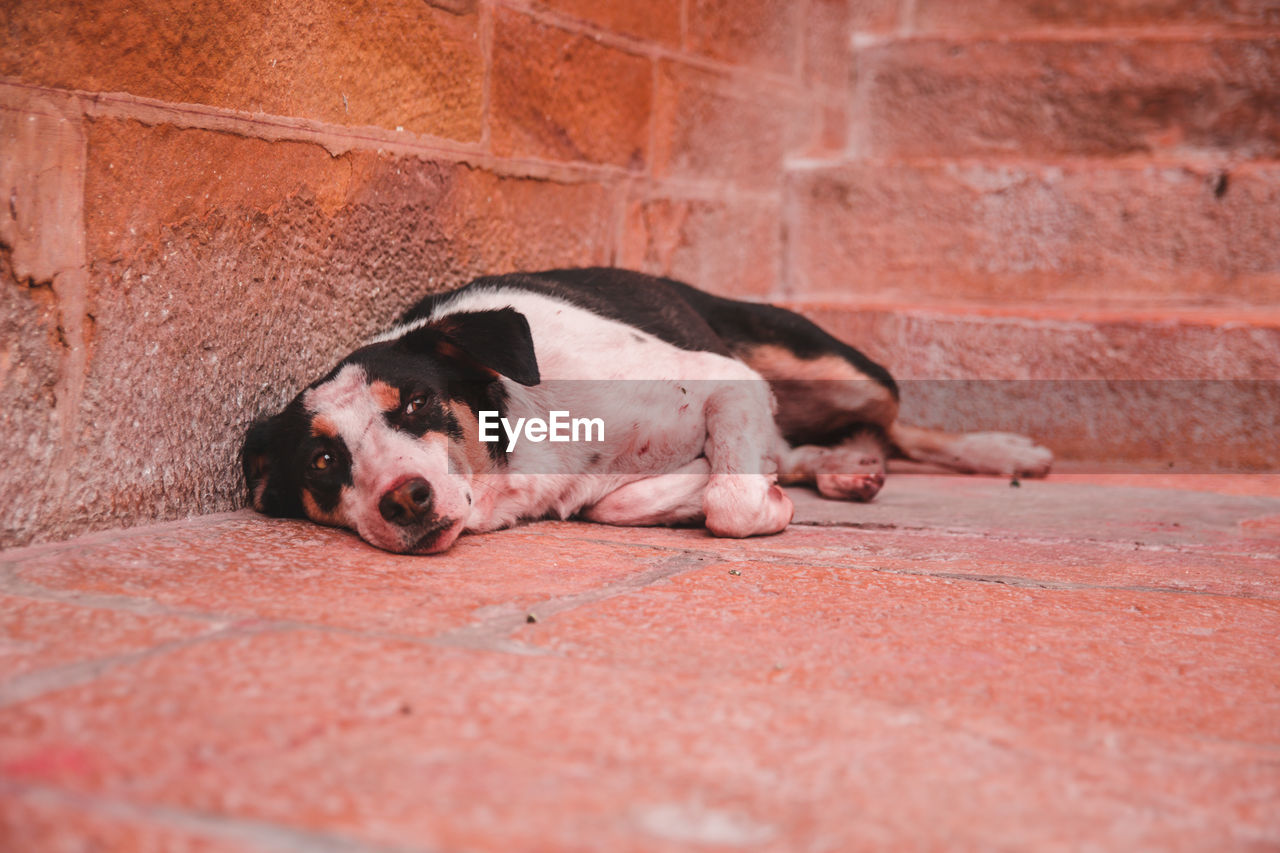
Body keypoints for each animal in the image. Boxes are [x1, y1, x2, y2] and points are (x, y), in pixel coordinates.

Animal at [241, 268, 1049, 555]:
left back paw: (1004, 451)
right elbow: (634, 500)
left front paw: (759, 500)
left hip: (838, 368)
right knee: (817, 444)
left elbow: (732, 502)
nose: (403, 499)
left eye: (416, 401)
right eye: (323, 460)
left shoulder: (727, 380)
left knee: (899, 424)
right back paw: (843, 468)